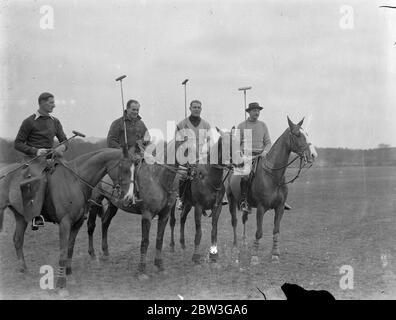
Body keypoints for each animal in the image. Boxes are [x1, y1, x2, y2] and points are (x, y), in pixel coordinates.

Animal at [0, 148, 133, 290]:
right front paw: (61, 283)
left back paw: (23, 268)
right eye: (125, 169)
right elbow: (63, 253)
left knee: (18, 240)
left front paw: (68, 273)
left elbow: (70, 249)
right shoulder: (65, 223)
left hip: (21, 217)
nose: (129, 198)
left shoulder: (77, 223)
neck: (75, 181)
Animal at [87, 141, 180, 278]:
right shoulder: (147, 215)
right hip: (95, 202)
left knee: (105, 222)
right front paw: (141, 270)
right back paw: (93, 254)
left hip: (113, 205)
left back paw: (105, 253)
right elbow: (145, 241)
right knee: (91, 225)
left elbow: (159, 239)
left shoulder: (164, 215)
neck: (159, 178)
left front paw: (160, 266)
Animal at [169, 129, 237, 264]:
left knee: (182, 218)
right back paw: (172, 245)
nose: (239, 162)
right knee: (173, 221)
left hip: (188, 204)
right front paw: (196, 256)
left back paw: (183, 244)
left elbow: (214, 230)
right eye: (224, 143)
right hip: (173, 201)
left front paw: (214, 254)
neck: (210, 179)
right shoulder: (198, 208)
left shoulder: (217, 207)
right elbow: (198, 232)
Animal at [226, 117, 318, 262]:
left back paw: (244, 243)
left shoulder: (279, 208)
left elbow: (276, 231)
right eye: (297, 134)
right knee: (234, 221)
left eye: (307, 133)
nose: (313, 155)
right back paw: (235, 248)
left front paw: (275, 254)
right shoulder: (261, 208)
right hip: (231, 200)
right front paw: (255, 256)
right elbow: (259, 232)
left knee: (244, 219)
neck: (273, 175)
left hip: (245, 204)